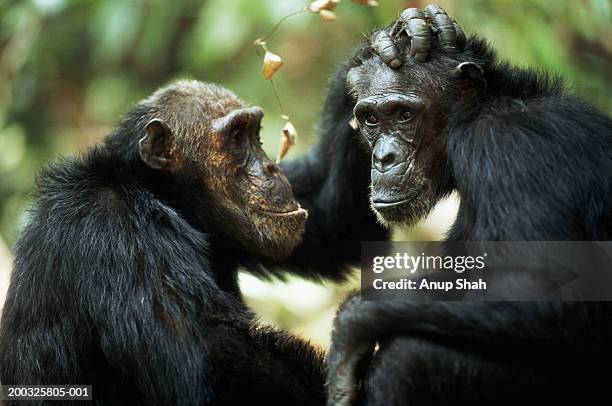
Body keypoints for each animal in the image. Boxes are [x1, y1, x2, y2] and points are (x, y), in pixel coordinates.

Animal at [0, 80, 330, 406]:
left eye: (255, 135)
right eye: (237, 138)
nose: (272, 167)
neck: (157, 192)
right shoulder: (120, 233)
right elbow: (206, 362)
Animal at [326, 5, 612, 406]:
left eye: (403, 114)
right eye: (370, 118)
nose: (383, 158)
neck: (474, 115)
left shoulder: (508, 151)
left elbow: (537, 292)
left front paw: (352, 323)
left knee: (408, 358)